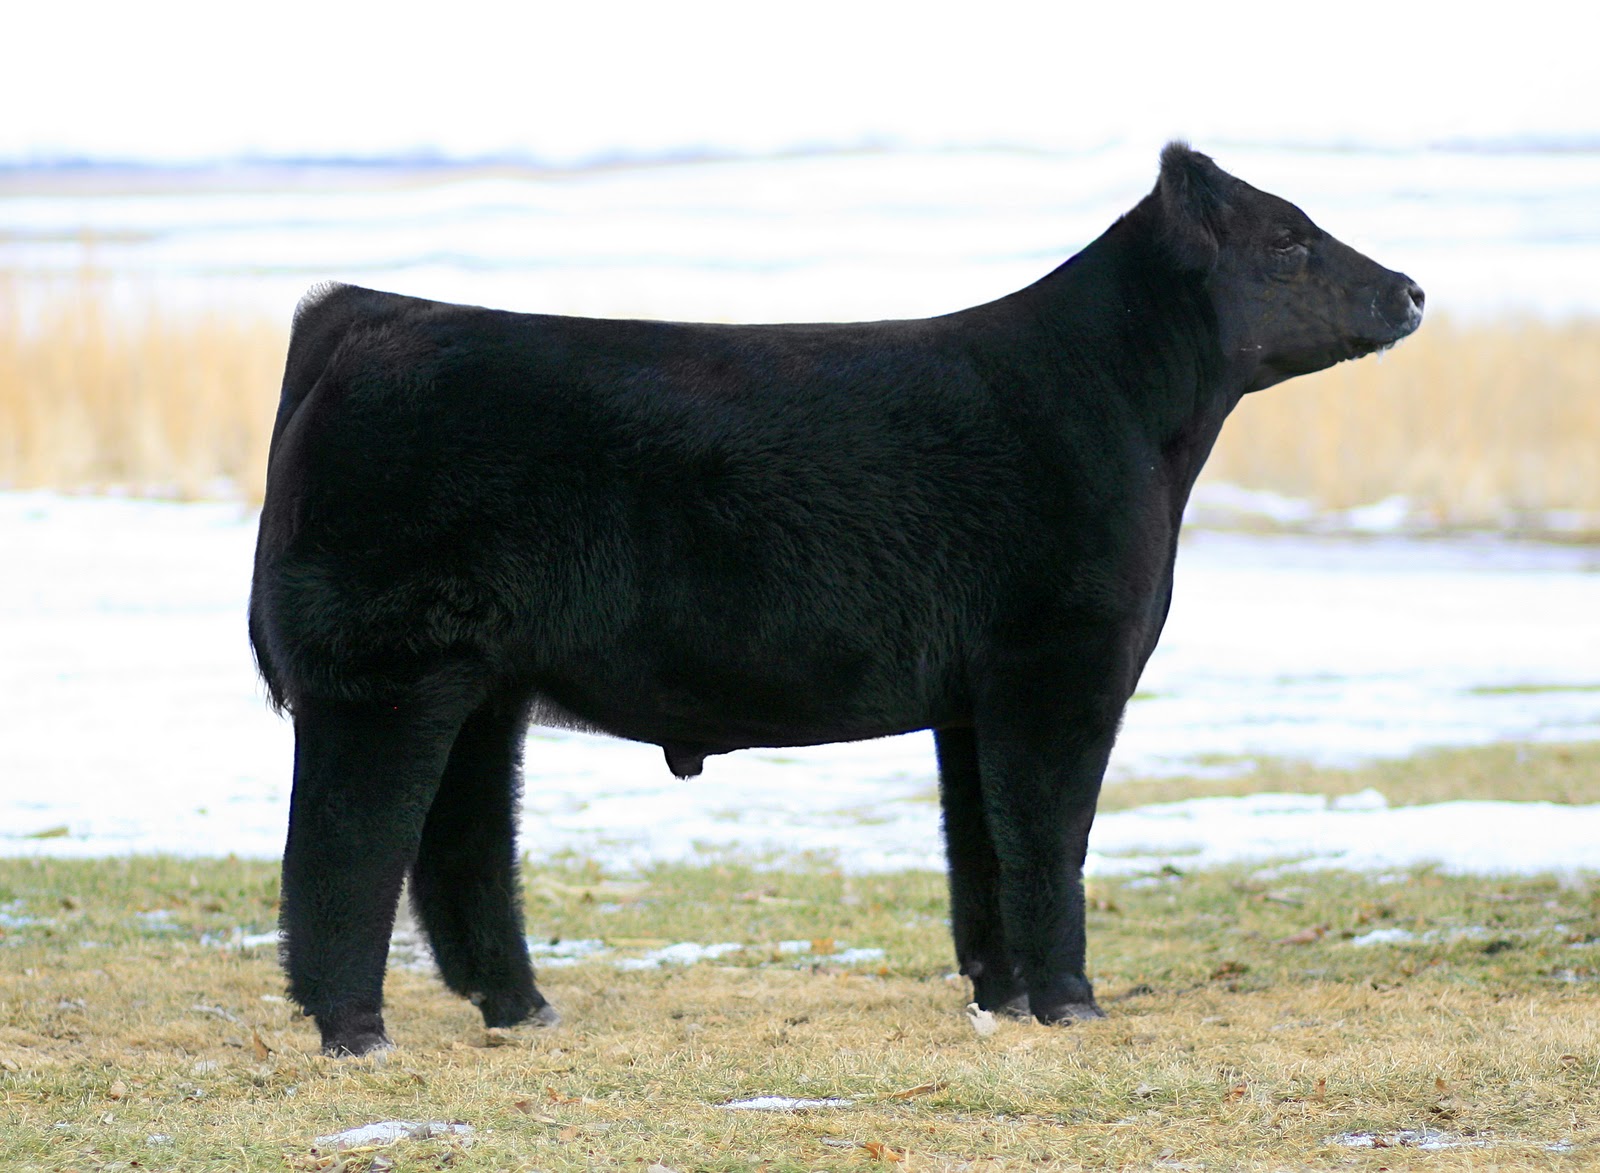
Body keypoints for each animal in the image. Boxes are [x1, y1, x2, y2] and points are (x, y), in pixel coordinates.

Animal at [249, 143, 1422, 1056]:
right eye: (1286, 240)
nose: (1410, 290)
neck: (1127, 416)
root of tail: (363, 315)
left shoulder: (975, 699)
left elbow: (980, 850)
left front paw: (1001, 997)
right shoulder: (1061, 667)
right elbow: (1047, 839)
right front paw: (1070, 1004)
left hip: (482, 683)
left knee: (459, 846)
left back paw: (521, 1008)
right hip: (386, 673)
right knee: (343, 849)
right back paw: (356, 1029)